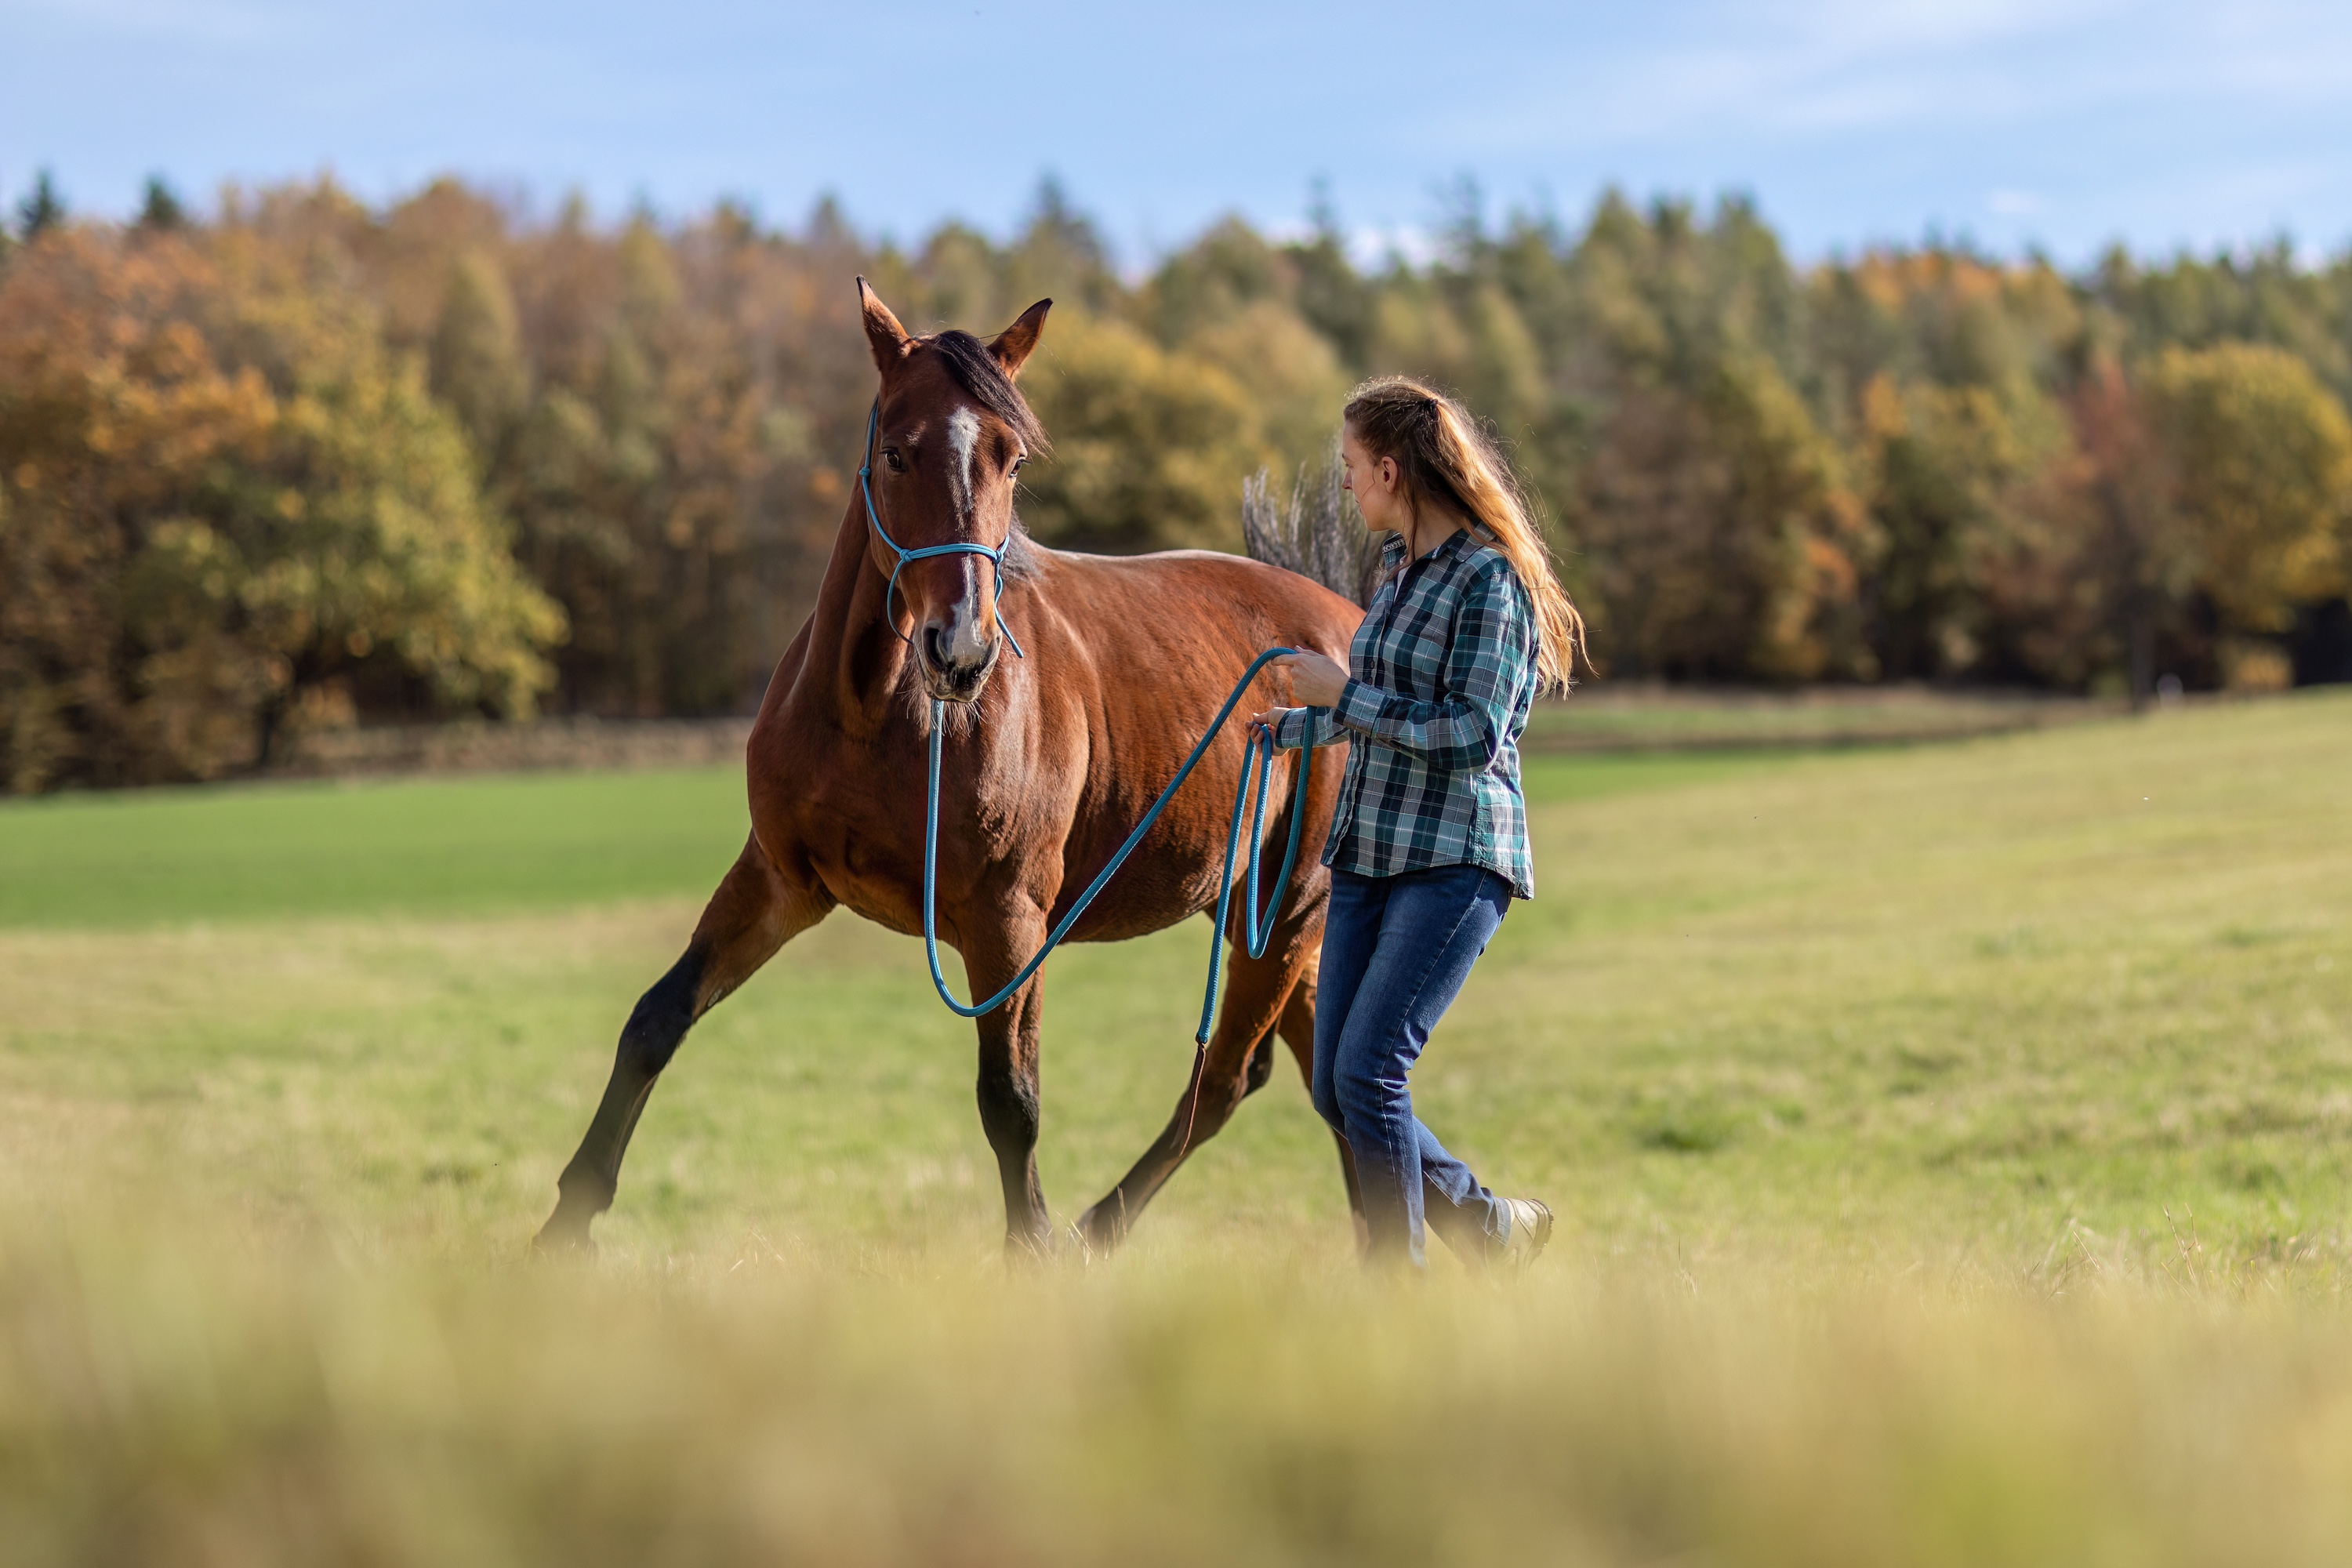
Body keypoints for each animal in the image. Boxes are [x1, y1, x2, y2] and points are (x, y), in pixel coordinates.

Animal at [534, 280, 1366, 1256]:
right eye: (897, 449)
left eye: (1012, 458)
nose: (960, 647)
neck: (875, 715)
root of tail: (1354, 628)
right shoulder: (780, 881)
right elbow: (656, 1018)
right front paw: (565, 1220)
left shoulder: (1008, 922)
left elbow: (1011, 1099)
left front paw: (1034, 1249)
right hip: (1264, 914)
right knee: (1327, 1075)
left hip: (1289, 911)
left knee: (1233, 1077)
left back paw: (1101, 1227)